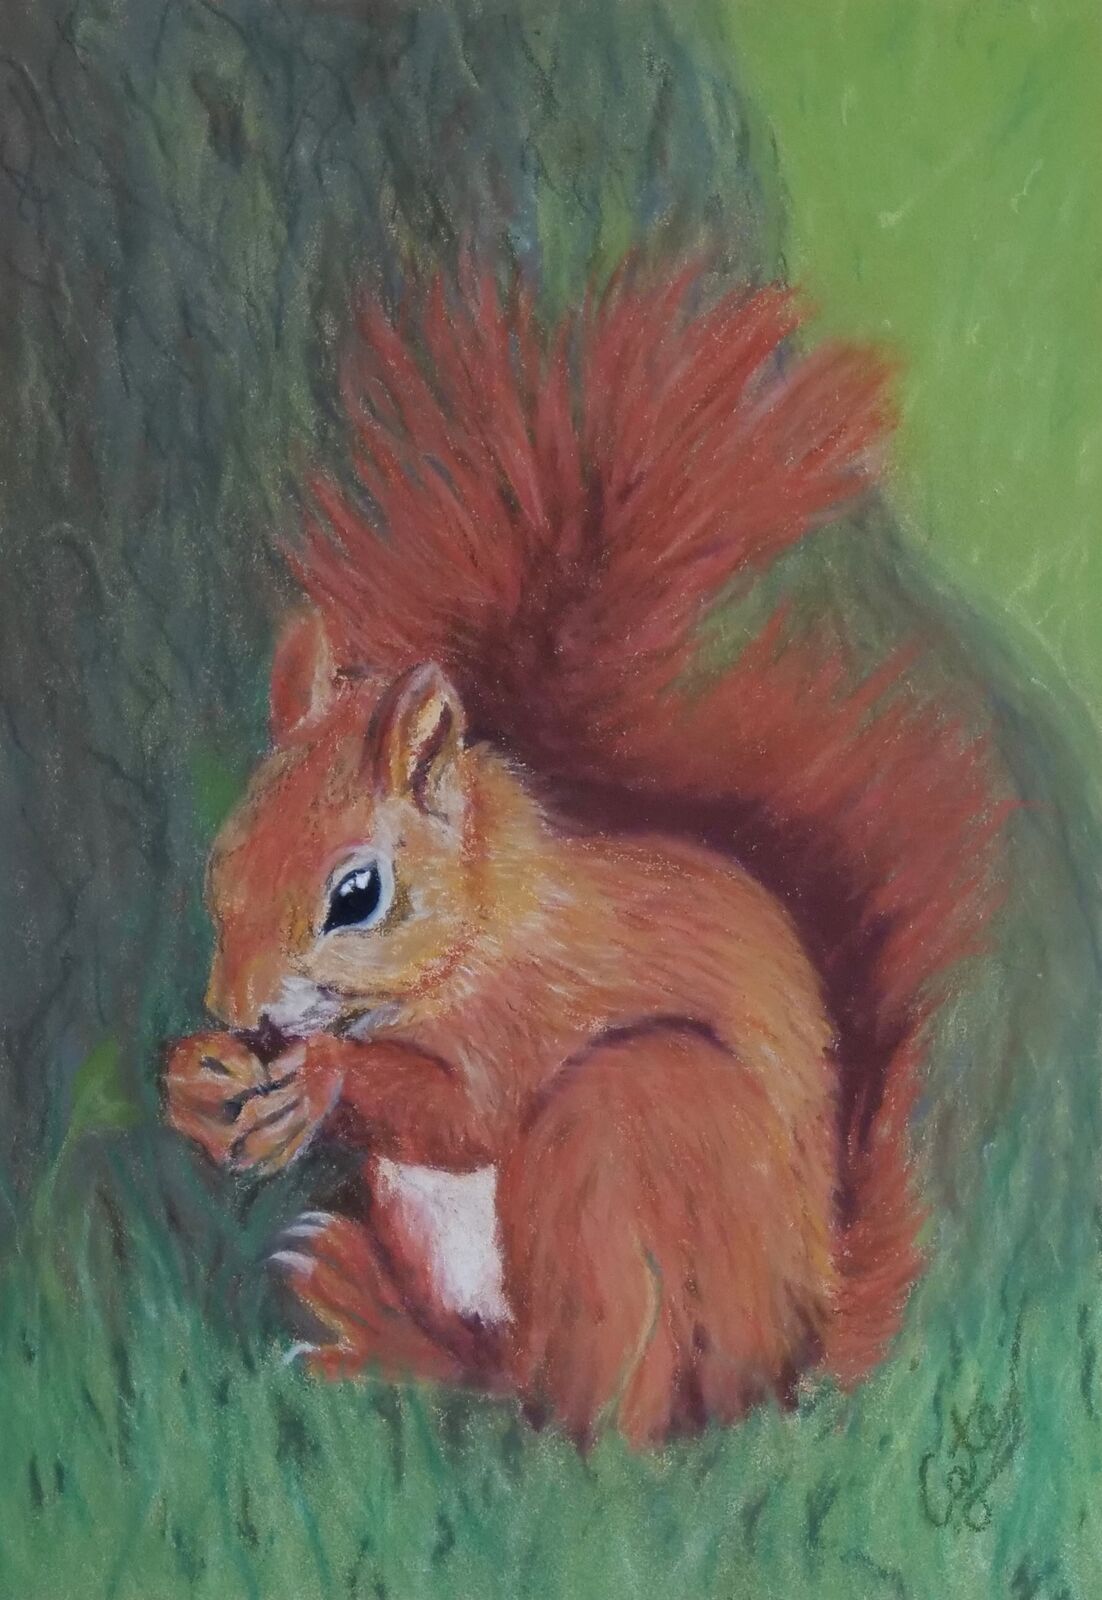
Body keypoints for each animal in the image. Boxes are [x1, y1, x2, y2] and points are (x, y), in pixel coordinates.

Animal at [164, 261, 1004, 1447]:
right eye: (222, 855)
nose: (234, 1007)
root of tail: (793, 1347)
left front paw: (319, 1077)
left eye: (357, 893)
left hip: (625, 1131)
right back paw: (387, 1328)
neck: (482, 918)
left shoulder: (534, 1009)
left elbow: (465, 1113)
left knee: (586, 1412)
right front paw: (195, 1083)